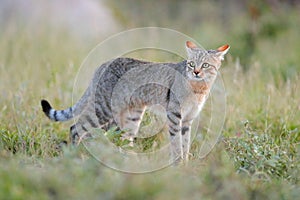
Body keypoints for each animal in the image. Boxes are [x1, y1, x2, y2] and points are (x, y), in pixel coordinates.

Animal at [41, 40, 230, 162]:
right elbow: (176, 143)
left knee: (123, 138)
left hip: (131, 115)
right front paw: (178, 164)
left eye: (205, 65)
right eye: (191, 64)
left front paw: (185, 163)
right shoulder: (175, 115)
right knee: (76, 128)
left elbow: (186, 143)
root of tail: (103, 64)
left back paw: (130, 161)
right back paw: (74, 156)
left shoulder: (188, 119)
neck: (199, 88)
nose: (196, 72)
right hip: (103, 109)